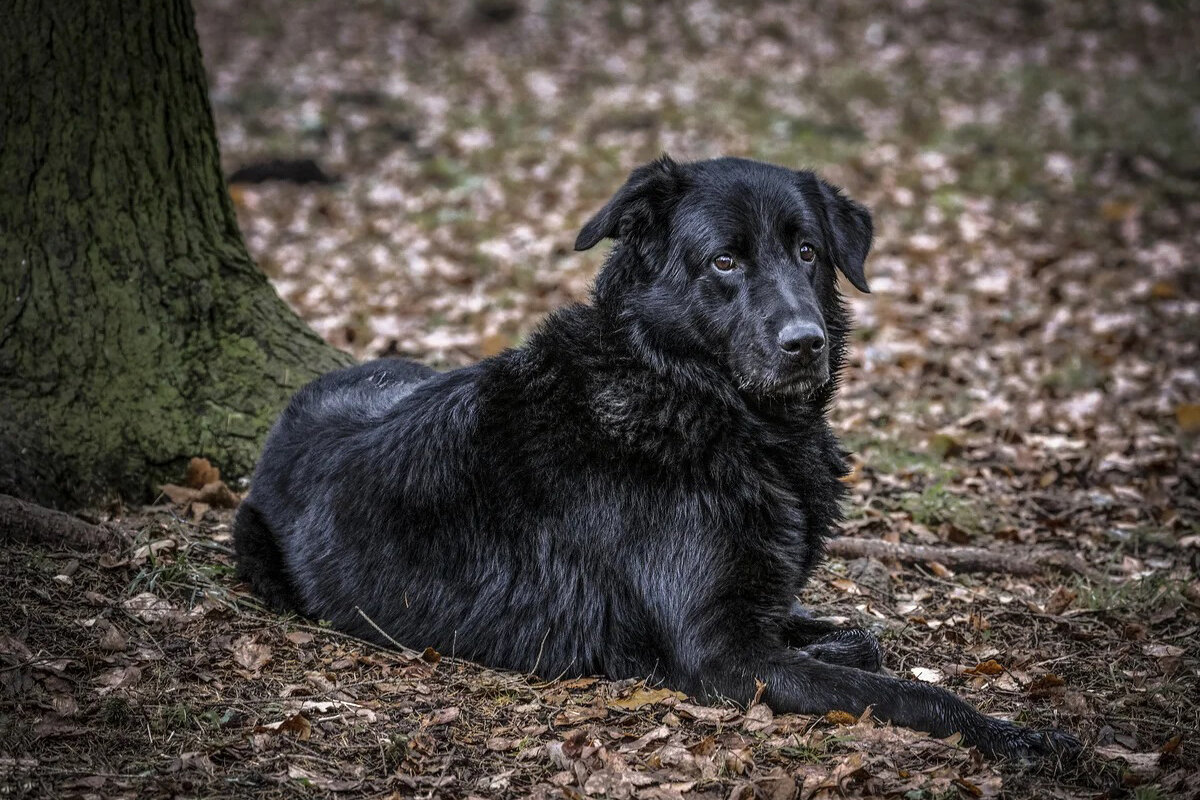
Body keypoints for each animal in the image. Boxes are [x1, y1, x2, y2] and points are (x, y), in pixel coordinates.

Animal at [234, 155, 1080, 762]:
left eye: (807, 251)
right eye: (724, 262)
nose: (805, 343)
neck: (692, 396)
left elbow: (856, 637)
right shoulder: (719, 654)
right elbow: (909, 693)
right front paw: (1018, 736)